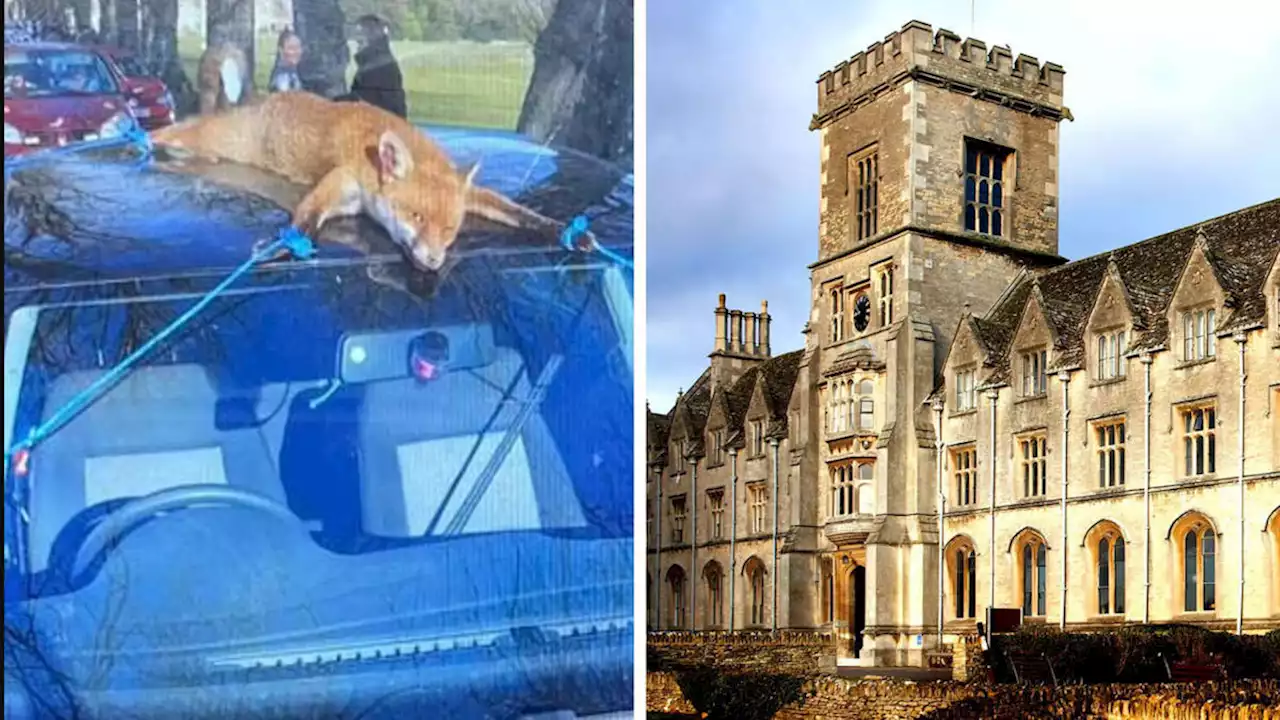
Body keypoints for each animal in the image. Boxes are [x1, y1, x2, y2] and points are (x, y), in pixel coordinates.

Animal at [149, 90, 593, 269]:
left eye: (450, 229)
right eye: (415, 217)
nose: (434, 261)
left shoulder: (475, 197)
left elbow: (520, 212)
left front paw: (567, 232)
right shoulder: (341, 183)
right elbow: (306, 219)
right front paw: (286, 246)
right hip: (202, 139)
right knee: (167, 134)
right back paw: (139, 141)